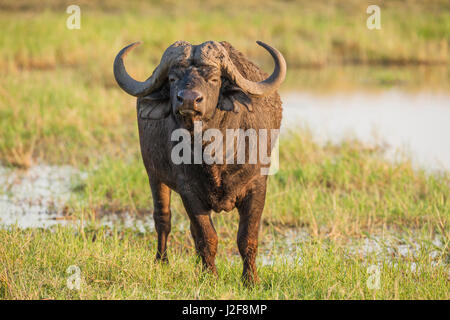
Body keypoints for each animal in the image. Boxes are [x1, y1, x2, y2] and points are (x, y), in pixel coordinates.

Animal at [114, 40, 286, 284]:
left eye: (214, 79)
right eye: (172, 78)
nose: (188, 99)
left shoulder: (257, 187)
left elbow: (247, 238)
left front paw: (250, 280)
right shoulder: (189, 192)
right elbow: (207, 237)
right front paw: (210, 277)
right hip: (154, 175)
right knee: (163, 219)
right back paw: (162, 261)